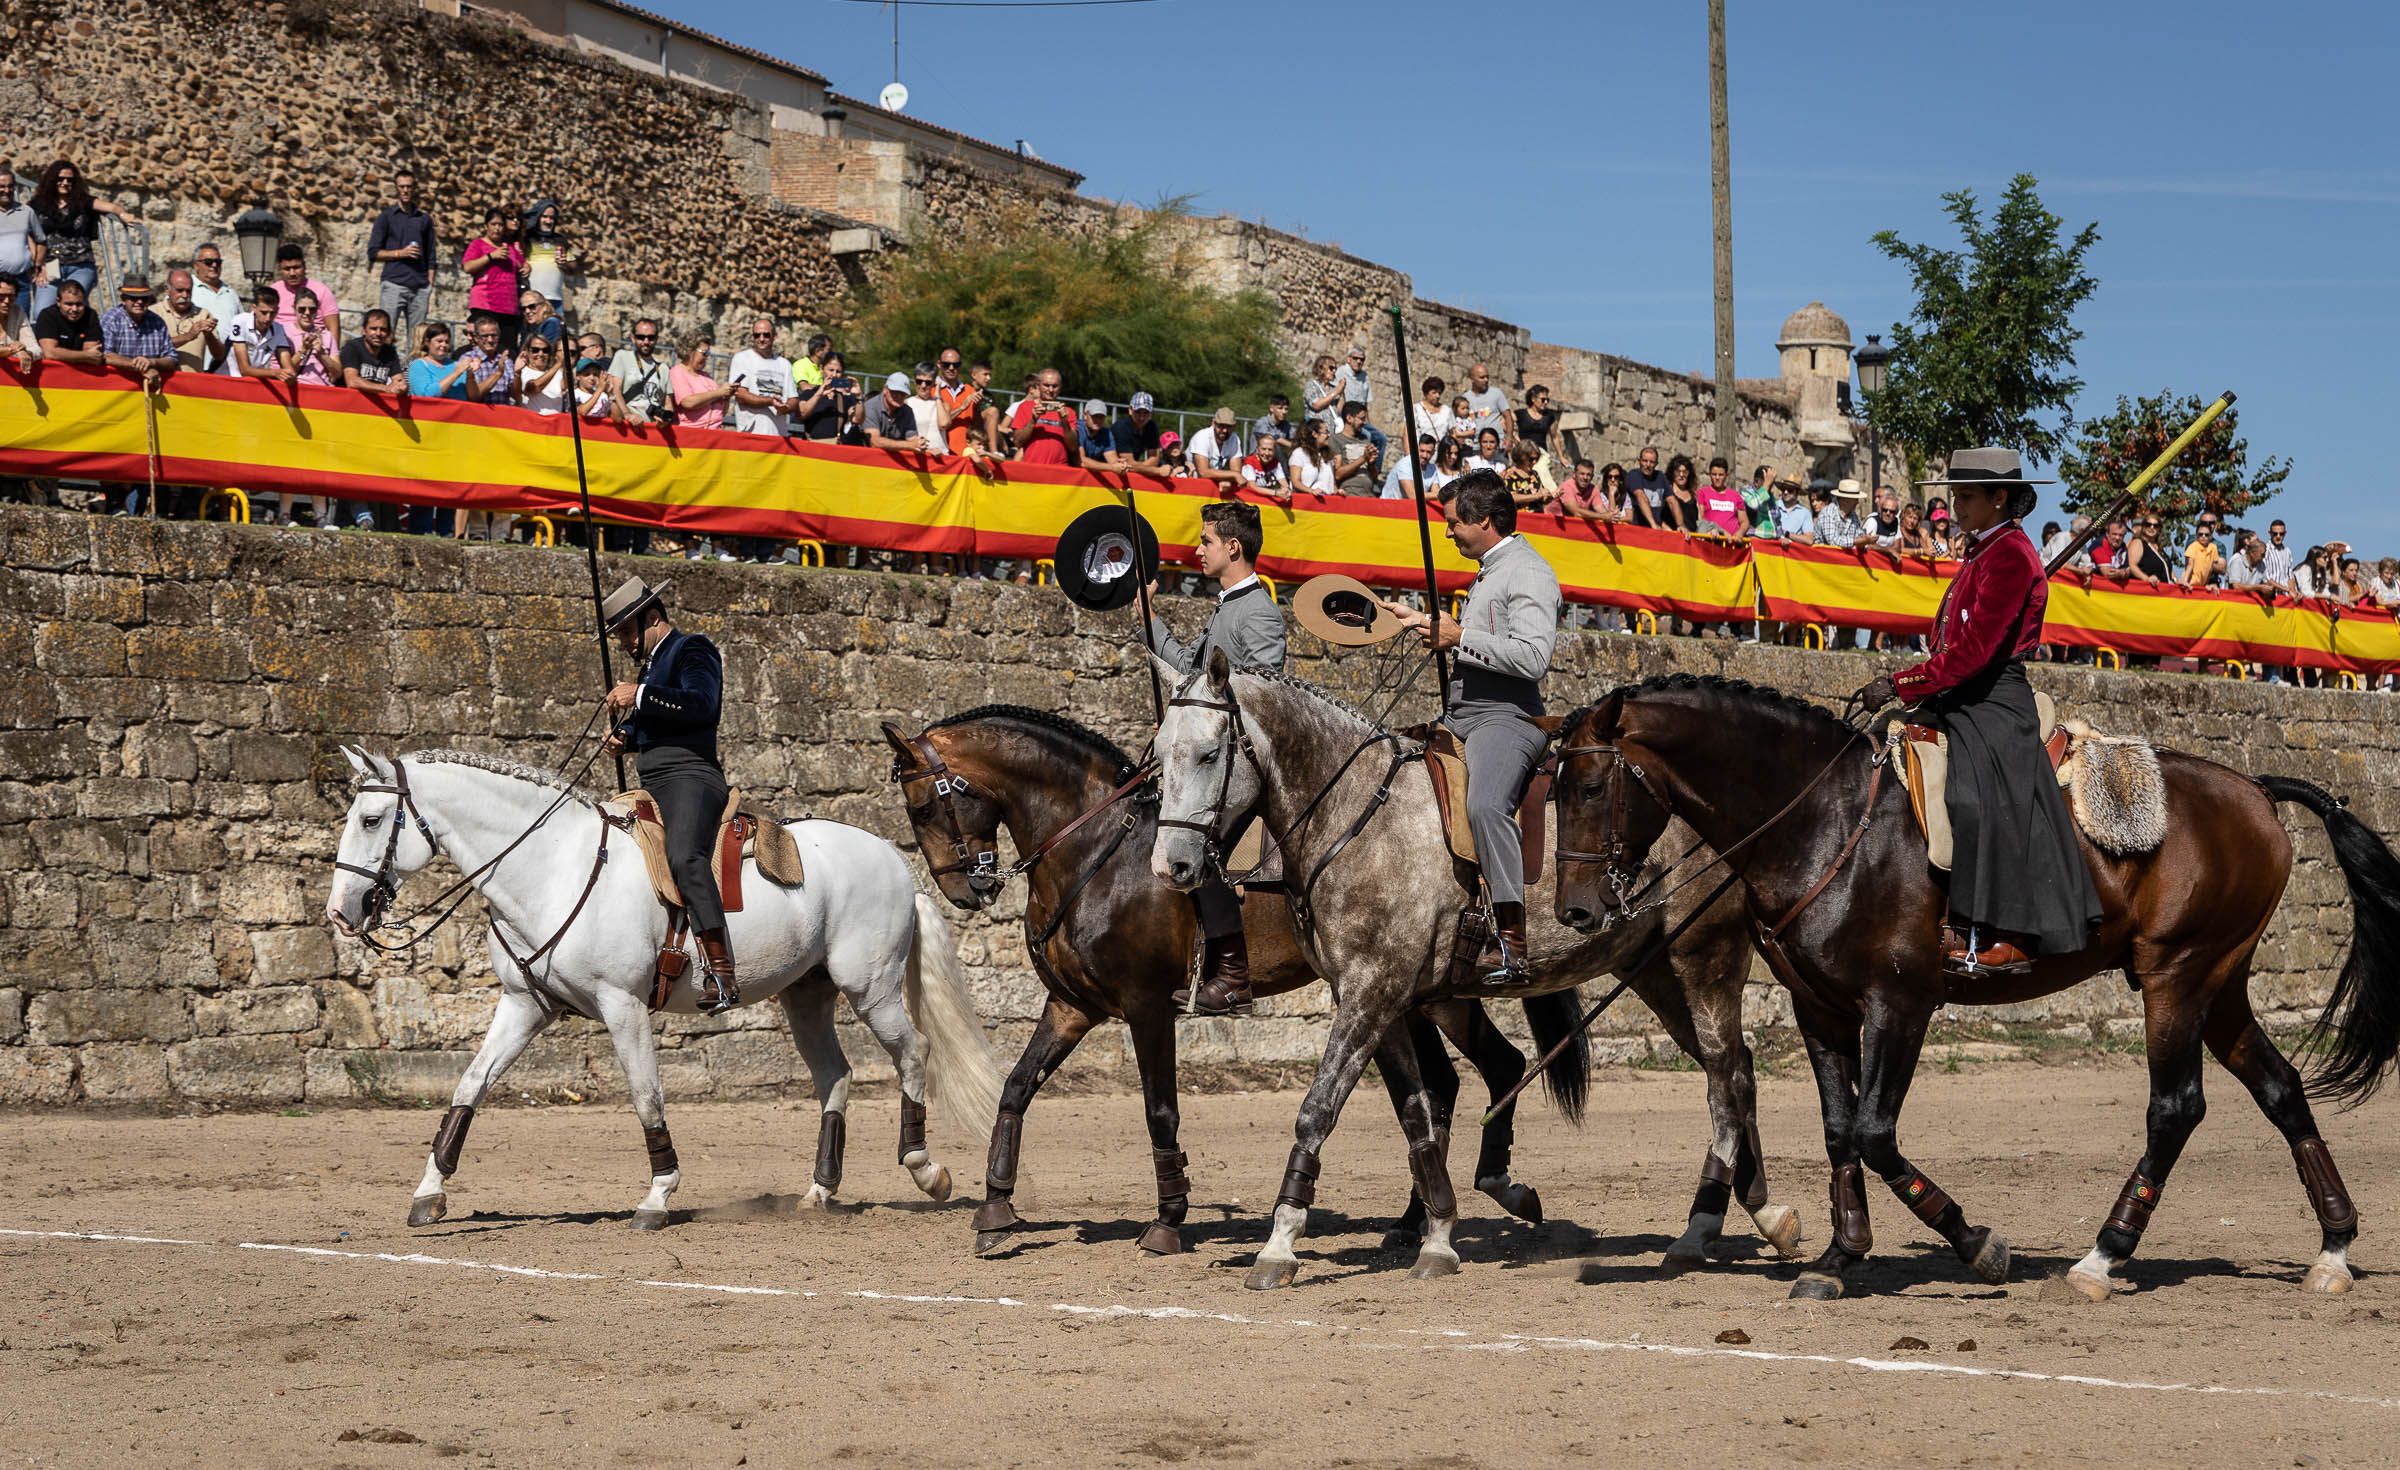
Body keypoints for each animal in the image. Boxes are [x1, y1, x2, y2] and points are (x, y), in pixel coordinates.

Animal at [324, 744, 998, 1229]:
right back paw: (819, 1191)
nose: (340, 912)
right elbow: (469, 1087)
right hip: (807, 995)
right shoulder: (524, 1006)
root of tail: (894, 859)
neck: (554, 867)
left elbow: (647, 1096)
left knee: (913, 1052)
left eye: (371, 819)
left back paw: (926, 1170)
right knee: (835, 1076)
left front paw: (658, 1196)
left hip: (871, 989)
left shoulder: (622, 1007)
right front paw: (429, 1192)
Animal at [883, 706, 1593, 1258]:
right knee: (1457, 1081)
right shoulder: (1071, 1006)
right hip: (1413, 997)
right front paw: (995, 1211)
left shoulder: (1147, 1006)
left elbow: (1159, 1109)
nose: (965, 889)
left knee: (1491, 1068)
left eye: (925, 806)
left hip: (1415, 993)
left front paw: (1168, 1219)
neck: (1098, 849)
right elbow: (1016, 1089)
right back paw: (1422, 1218)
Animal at [1142, 653, 1804, 1287]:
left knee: (1727, 1076)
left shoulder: (1371, 994)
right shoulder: (1380, 1000)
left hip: (1703, 964)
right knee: (1733, 1074)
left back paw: (1706, 1224)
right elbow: (1417, 1115)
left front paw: (1280, 1243)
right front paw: (1437, 1233)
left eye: (1208, 754)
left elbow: (1318, 1111)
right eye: (1157, 757)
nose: (1172, 866)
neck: (1355, 815)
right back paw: (1764, 1214)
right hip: (1654, 976)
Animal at [1545, 672, 2390, 1306]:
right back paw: (2334, 1248)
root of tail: (2254, 788)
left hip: (2176, 976)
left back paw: (2103, 1256)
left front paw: (1976, 1244)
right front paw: (1839, 1258)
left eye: (1587, 785)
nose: (1576, 911)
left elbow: (1874, 1133)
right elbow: (1839, 1130)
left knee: (2175, 1108)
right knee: (2280, 1089)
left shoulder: (1899, 1005)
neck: (1825, 819)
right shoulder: (1819, 1007)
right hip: (2220, 983)